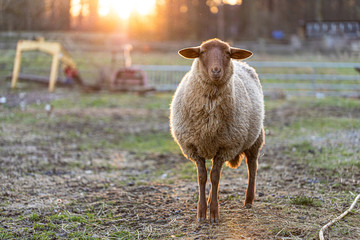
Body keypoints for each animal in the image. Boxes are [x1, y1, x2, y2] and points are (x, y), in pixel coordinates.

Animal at [169, 38, 264, 223]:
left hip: (255, 139)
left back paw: (248, 201)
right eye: (202, 52)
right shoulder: (193, 147)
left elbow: (215, 177)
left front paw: (213, 213)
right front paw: (201, 212)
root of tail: (243, 63)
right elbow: (203, 177)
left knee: (252, 166)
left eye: (228, 53)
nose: (216, 71)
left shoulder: (225, 147)